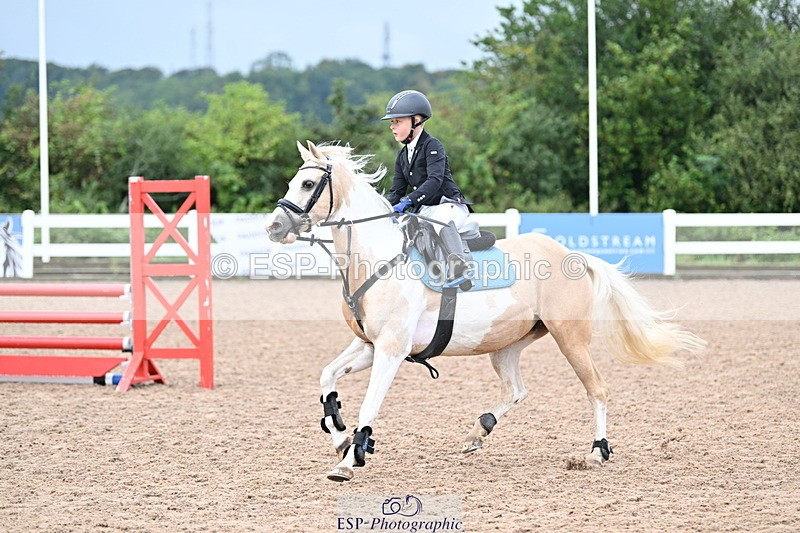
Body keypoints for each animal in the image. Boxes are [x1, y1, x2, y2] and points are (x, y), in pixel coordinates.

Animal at [266, 141, 705, 482]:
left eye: (308, 183)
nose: (273, 227)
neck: (376, 257)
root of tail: (573, 256)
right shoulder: (369, 345)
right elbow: (327, 377)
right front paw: (340, 435)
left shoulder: (391, 349)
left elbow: (370, 404)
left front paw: (349, 458)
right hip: (507, 344)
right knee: (516, 390)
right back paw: (479, 431)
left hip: (571, 338)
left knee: (597, 389)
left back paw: (597, 451)